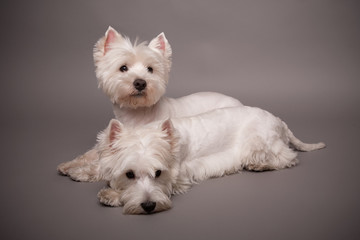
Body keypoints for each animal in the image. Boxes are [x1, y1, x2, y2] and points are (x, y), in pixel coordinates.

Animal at [57, 27, 242, 179]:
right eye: (123, 68)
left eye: (150, 69)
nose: (140, 82)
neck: (136, 114)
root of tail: (239, 102)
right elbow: (92, 153)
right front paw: (69, 164)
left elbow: (109, 165)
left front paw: (80, 172)